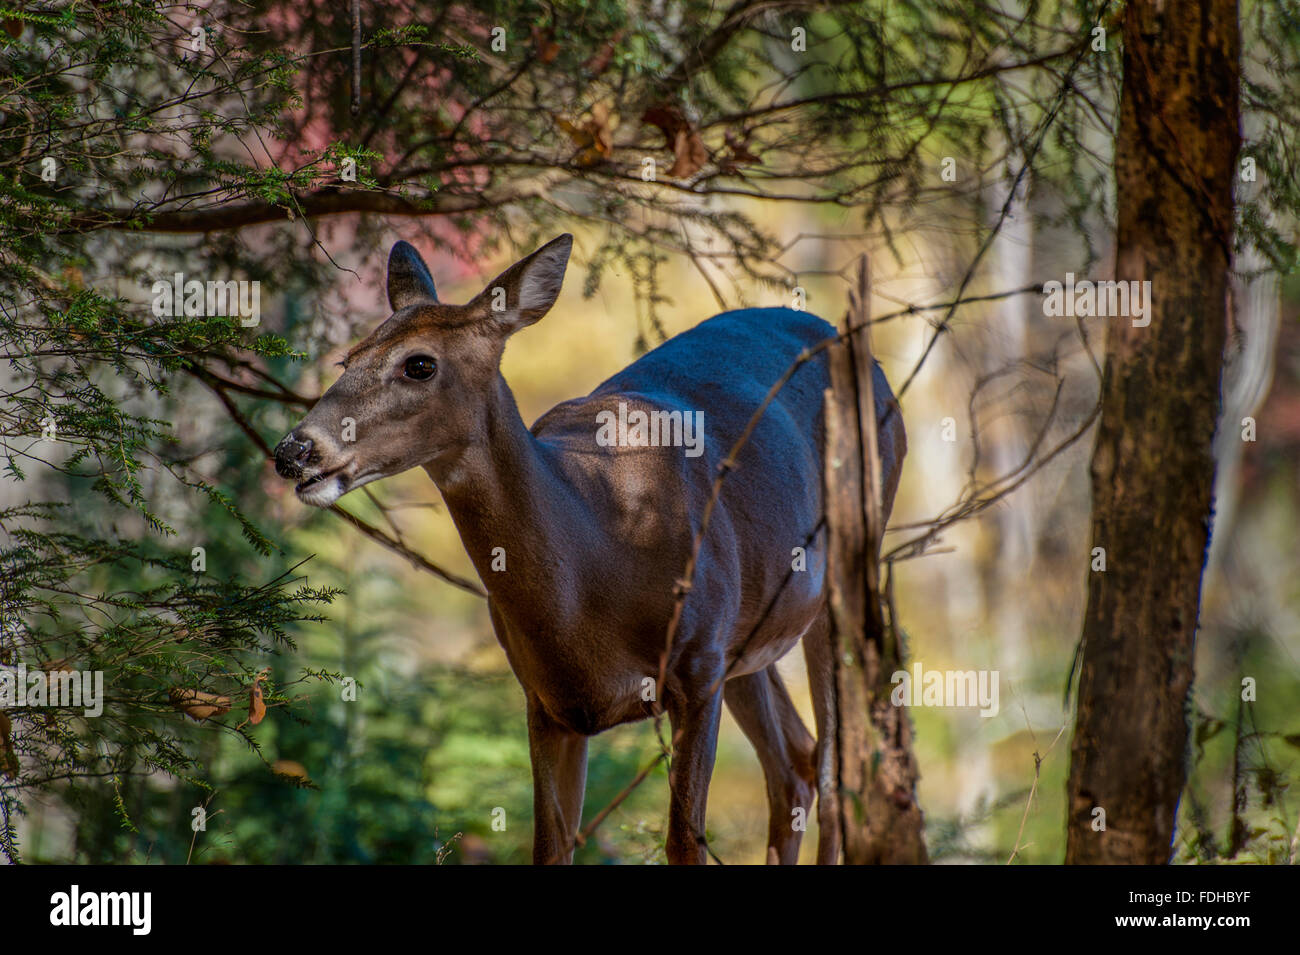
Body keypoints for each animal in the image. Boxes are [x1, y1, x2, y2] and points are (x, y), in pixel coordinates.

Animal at [274, 233, 904, 867]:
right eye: (347, 359)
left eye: (420, 364)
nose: (293, 451)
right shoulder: (547, 700)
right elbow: (551, 847)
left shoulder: (697, 666)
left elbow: (685, 841)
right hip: (747, 636)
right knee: (795, 765)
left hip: (845, 564)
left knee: (835, 775)